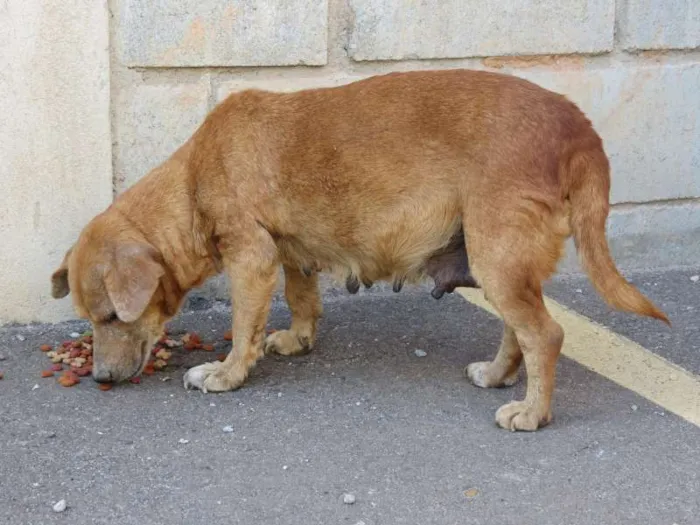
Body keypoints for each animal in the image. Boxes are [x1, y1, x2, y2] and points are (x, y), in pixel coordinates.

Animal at [49, 69, 668, 430]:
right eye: (91, 319)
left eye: (111, 317)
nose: (100, 379)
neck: (192, 180)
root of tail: (579, 127)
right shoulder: (291, 255)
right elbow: (302, 299)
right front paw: (297, 339)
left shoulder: (251, 259)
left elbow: (244, 326)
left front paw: (226, 373)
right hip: (500, 265)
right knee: (520, 332)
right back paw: (497, 375)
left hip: (497, 257)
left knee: (546, 335)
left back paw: (532, 412)